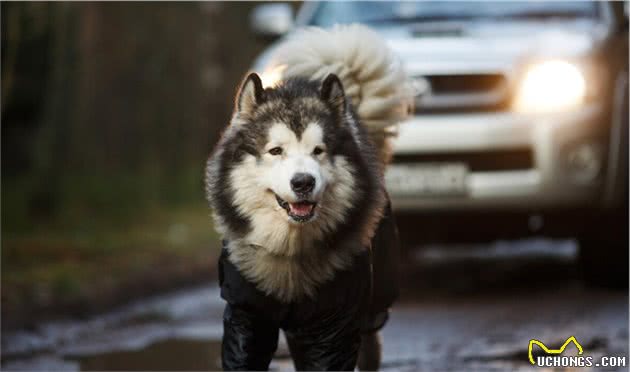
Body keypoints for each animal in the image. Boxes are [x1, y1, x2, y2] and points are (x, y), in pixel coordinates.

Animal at [206, 24, 414, 370]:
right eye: (276, 151)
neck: (290, 253)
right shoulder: (247, 315)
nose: (303, 182)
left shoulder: (333, 322)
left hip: (372, 305)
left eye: (319, 150)